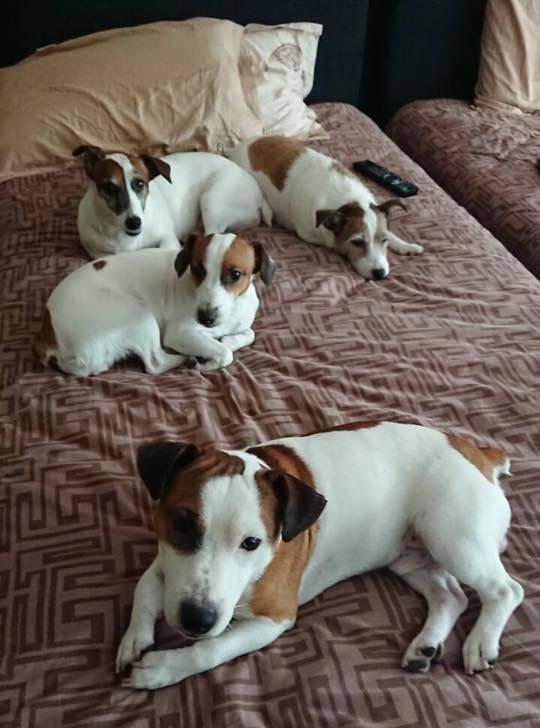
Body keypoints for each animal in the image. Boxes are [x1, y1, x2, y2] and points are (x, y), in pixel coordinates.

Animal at [34, 233, 274, 376]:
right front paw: (209, 359)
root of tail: (49, 336)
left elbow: (247, 335)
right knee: (155, 363)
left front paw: (226, 340)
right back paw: (185, 359)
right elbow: (225, 354)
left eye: (235, 274)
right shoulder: (180, 333)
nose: (205, 318)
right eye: (198, 270)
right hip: (139, 316)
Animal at [74, 145, 272, 258]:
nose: (134, 222)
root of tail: (259, 194)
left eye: (140, 183)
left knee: (211, 235)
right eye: (108, 187)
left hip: (213, 199)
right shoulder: (98, 253)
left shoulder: (166, 238)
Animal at [115, 420, 524, 688]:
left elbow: (211, 649)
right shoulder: (166, 562)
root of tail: (475, 450)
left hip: (454, 538)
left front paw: (164, 668)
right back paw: (426, 646)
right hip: (411, 556)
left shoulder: (275, 618)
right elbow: (144, 588)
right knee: (450, 595)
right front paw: (135, 638)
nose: (197, 619)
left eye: (251, 543)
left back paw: (481, 642)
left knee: (506, 590)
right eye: (182, 524)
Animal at [230, 135, 424, 280]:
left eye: (384, 240)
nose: (380, 274)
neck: (348, 201)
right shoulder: (309, 233)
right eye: (357, 242)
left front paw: (406, 245)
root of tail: (243, 145)